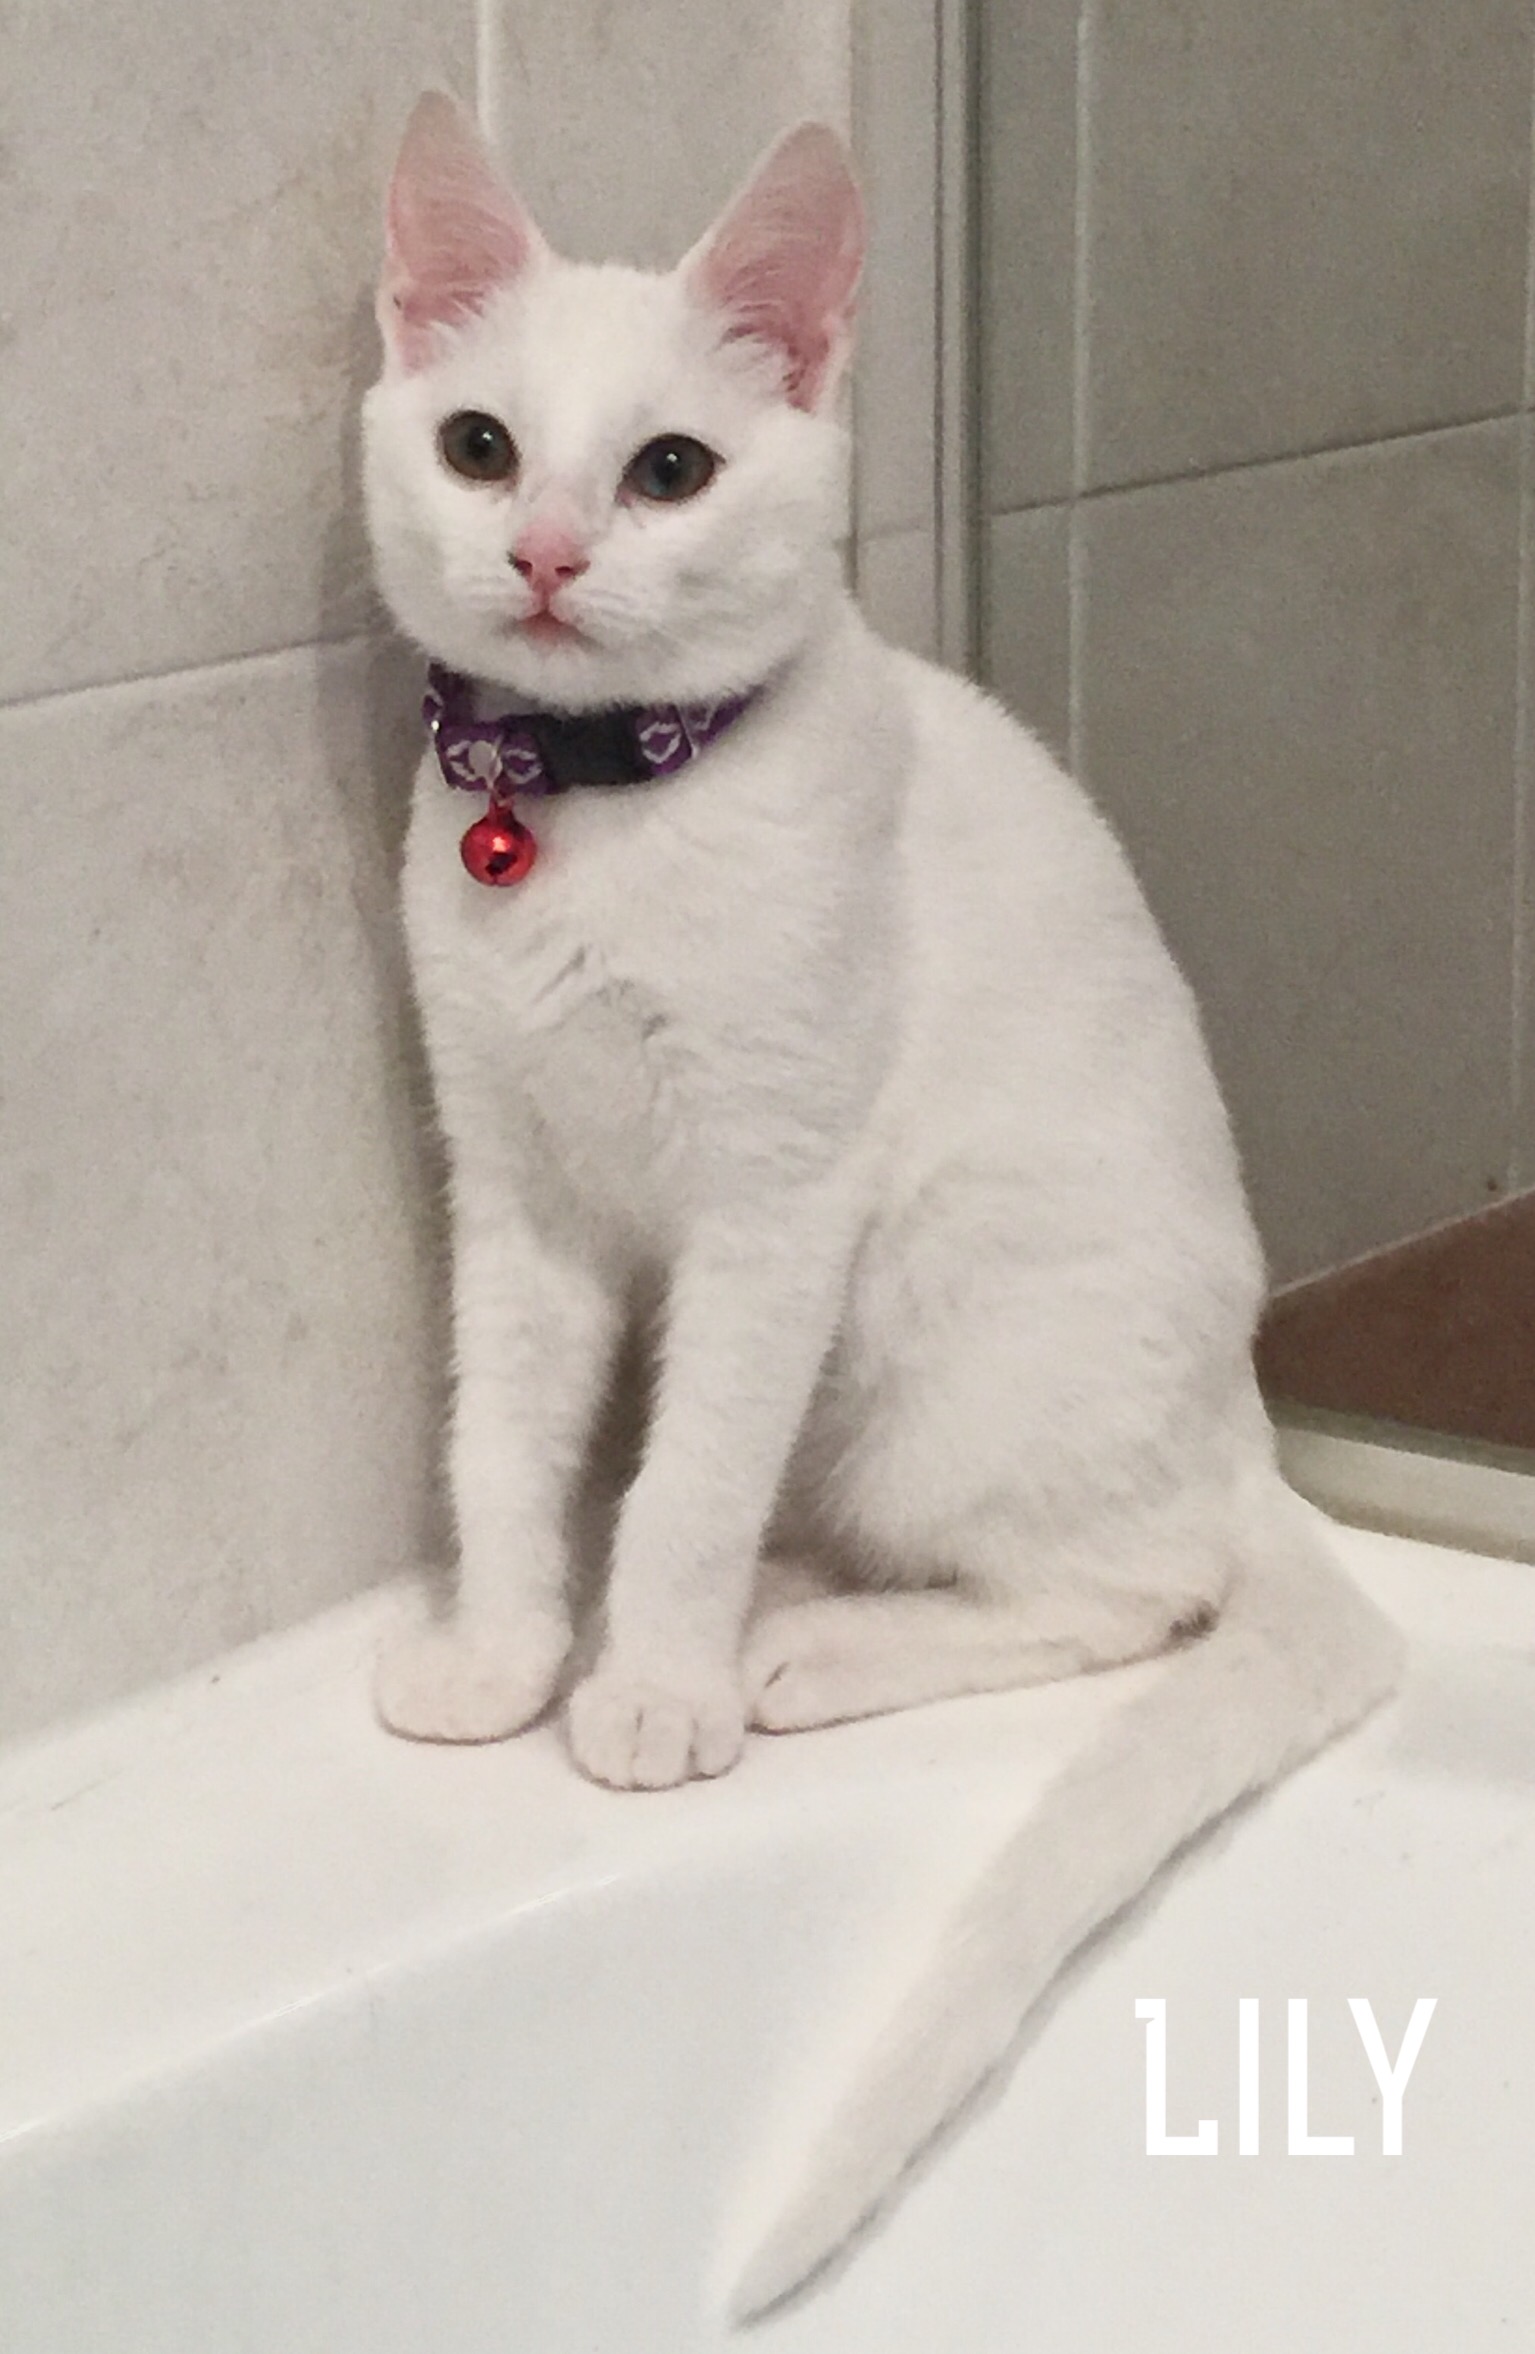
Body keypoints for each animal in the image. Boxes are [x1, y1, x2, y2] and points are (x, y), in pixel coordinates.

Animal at [361, 93, 1403, 2317]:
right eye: (481, 443)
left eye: (668, 468)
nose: (545, 548)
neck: (596, 815)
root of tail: (1246, 1426)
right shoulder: (514, 1188)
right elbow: (503, 1446)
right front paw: (505, 1649)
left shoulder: (775, 1199)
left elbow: (677, 1480)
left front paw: (649, 1680)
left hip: (934, 1340)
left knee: (1131, 1587)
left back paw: (796, 1645)